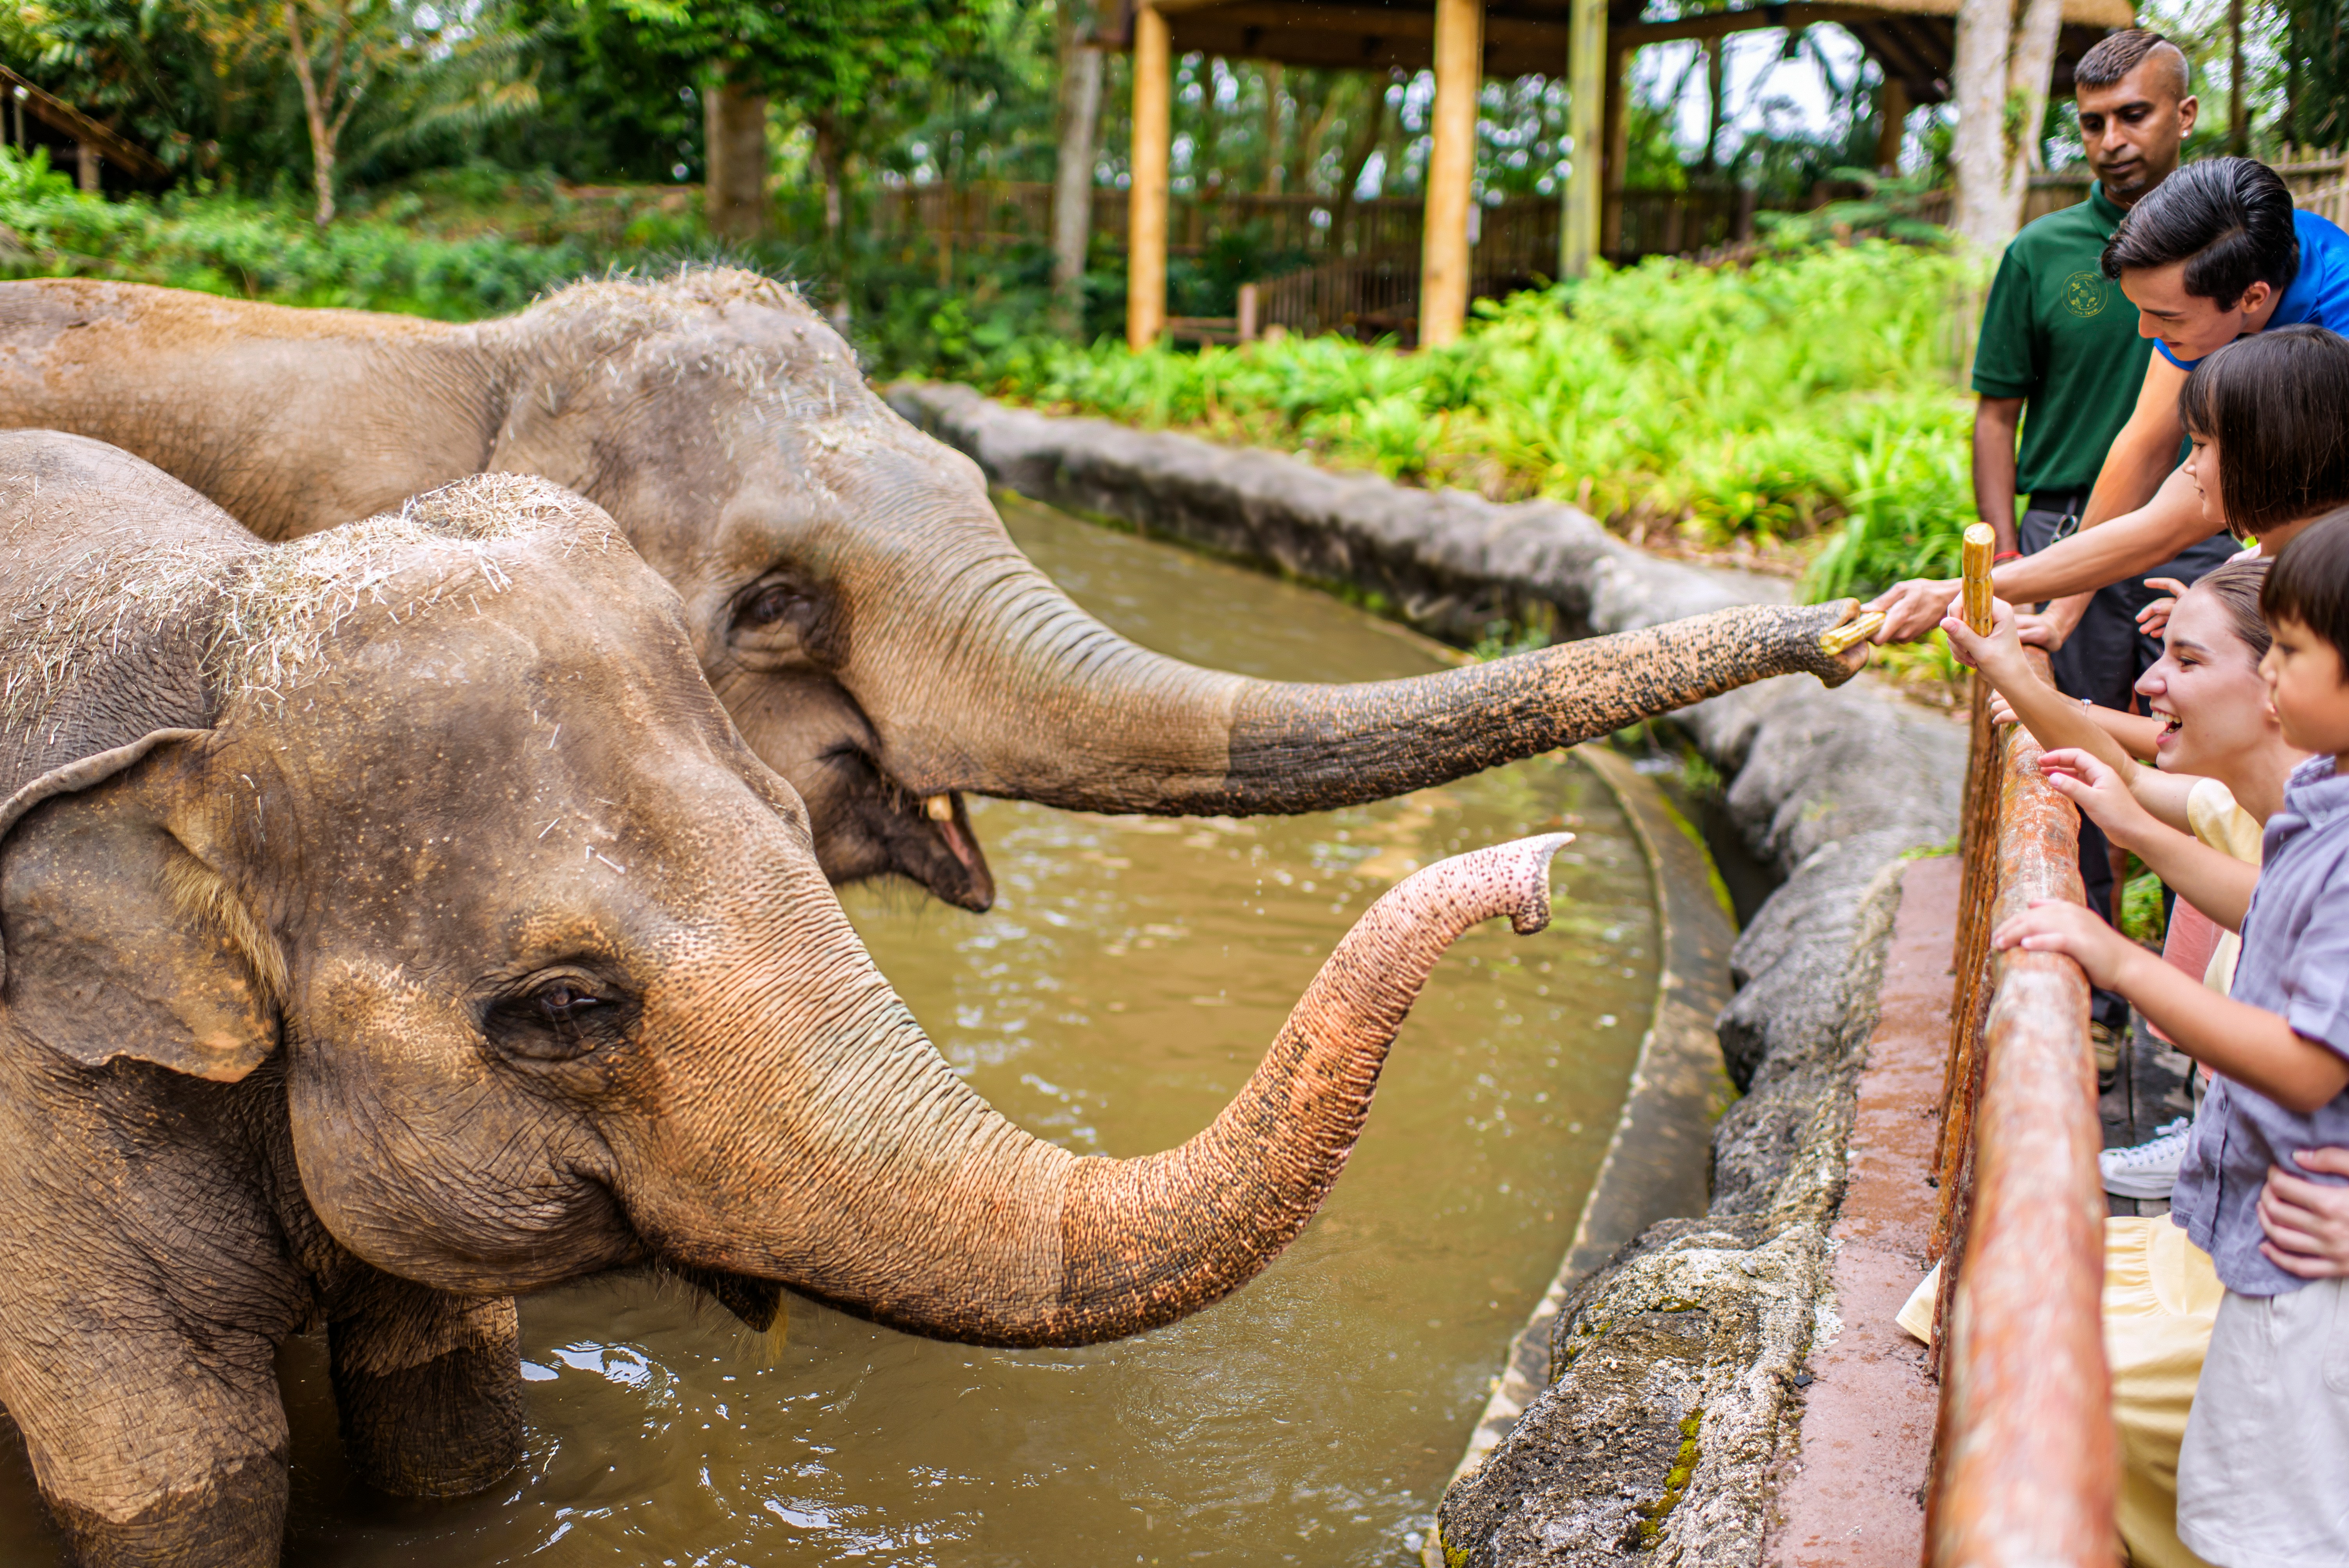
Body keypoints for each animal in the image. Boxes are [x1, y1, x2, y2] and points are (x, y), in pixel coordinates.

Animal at [0, 431, 1573, 1568]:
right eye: (562, 1006)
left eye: (787, 813)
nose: (1536, 873)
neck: (203, 654)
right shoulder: (45, 1139)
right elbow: (178, 1481)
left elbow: (448, 1425)